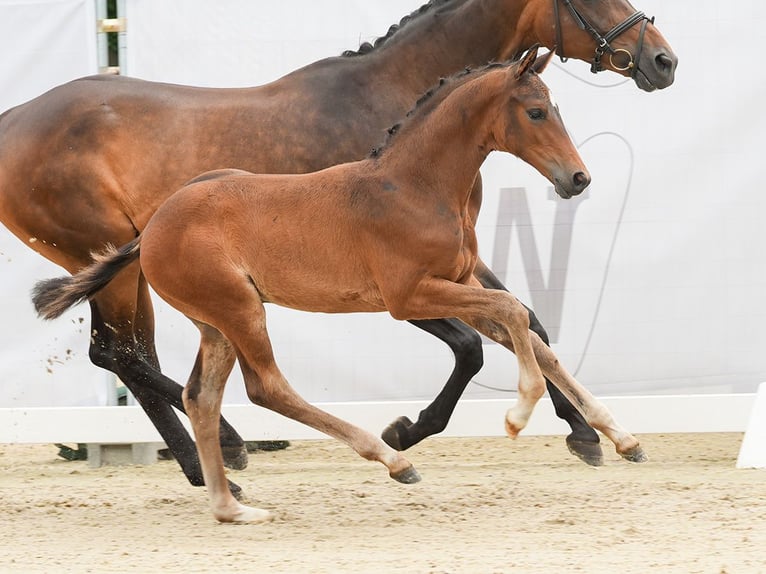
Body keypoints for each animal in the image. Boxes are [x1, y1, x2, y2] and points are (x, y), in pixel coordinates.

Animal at [0, 0, 680, 496]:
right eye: (537, 113)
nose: (663, 60)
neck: (410, 178)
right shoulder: (407, 296)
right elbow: (484, 339)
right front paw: (424, 429)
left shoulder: (461, 274)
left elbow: (530, 325)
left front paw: (605, 435)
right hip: (151, 275)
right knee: (159, 363)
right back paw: (249, 450)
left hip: (175, 293)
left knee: (137, 360)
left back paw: (218, 459)